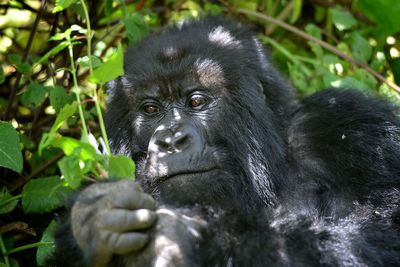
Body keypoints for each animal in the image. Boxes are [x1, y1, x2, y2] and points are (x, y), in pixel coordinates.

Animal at [52, 17, 400, 266]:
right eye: (150, 109)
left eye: (196, 101)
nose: (170, 140)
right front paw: (92, 221)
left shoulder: (351, 127)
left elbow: (378, 236)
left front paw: (189, 238)